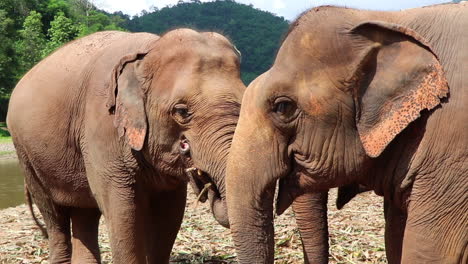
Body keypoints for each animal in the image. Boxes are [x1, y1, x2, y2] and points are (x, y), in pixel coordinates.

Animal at [7, 29, 245, 264]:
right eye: (181, 111)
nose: (206, 182)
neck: (148, 51)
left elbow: (169, 214)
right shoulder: (102, 127)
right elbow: (122, 212)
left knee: (85, 212)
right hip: (26, 154)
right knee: (53, 214)